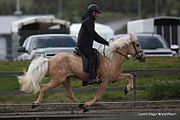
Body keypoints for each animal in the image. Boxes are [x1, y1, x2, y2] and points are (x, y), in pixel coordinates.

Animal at [17, 32, 145, 109]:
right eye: (138, 44)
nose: (144, 57)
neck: (111, 58)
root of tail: (50, 60)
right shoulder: (105, 81)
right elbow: (98, 96)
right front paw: (89, 104)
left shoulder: (115, 77)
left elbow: (130, 76)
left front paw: (127, 89)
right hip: (58, 80)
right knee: (43, 88)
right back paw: (35, 104)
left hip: (65, 80)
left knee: (69, 94)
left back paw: (81, 104)